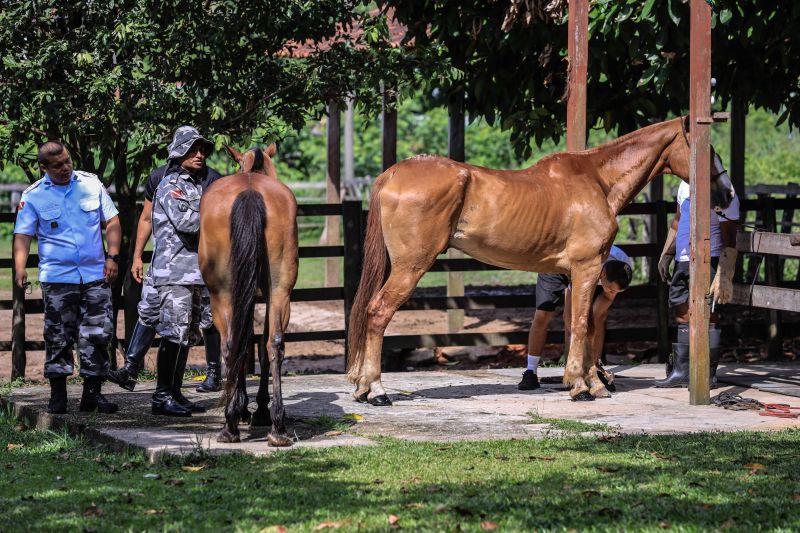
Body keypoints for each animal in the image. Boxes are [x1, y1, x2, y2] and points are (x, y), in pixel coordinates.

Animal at [200, 143, 300, 442]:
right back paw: (277, 427)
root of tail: (250, 191)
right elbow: (260, 348)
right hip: (280, 292)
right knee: (275, 343)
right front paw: (258, 410)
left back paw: (231, 424)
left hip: (221, 294)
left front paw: (245, 409)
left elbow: (243, 347)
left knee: (231, 344)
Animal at [346, 114, 736, 402]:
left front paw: (589, 382)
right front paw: (582, 387)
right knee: (377, 313)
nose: (727, 195)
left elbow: (581, 325)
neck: (597, 180)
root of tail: (392, 174)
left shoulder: (575, 274)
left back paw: (364, 387)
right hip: (411, 268)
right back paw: (376, 390)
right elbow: (582, 325)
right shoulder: (587, 268)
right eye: (707, 151)